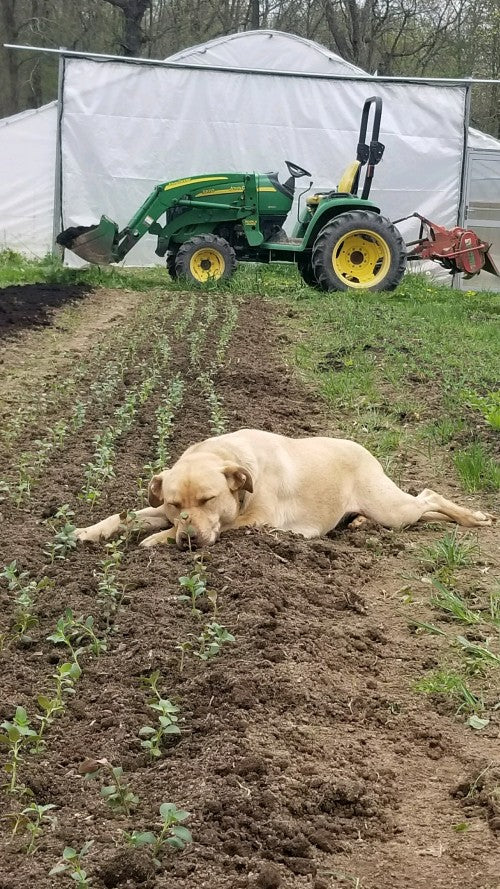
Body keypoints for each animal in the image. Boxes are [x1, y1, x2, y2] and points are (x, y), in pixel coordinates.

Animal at [74, 428, 492, 548]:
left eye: (209, 499)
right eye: (177, 504)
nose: (189, 540)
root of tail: (363, 449)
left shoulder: (257, 520)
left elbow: (222, 528)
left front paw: (154, 541)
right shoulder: (160, 508)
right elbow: (122, 516)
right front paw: (85, 531)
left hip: (391, 508)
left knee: (428, 498)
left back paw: (473, 518)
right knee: (423, 510)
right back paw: (358, 524)